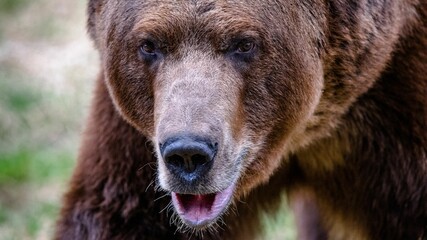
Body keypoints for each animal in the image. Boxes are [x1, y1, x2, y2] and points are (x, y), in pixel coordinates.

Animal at [55, 0, 426, 239]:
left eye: (244, 44)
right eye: (148, 45)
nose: (187, 155)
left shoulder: (393, 108)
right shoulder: (134, 136)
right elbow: (118, 215)